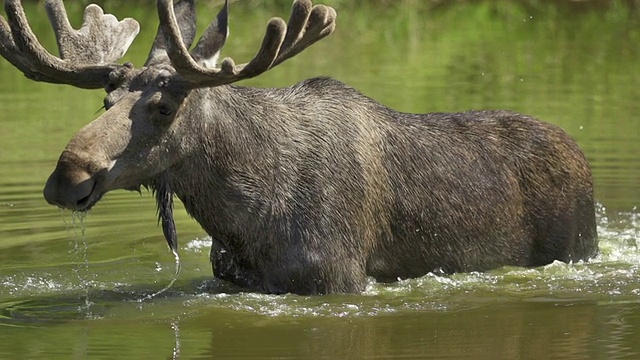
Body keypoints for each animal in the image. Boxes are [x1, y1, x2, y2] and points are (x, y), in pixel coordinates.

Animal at [2, 0, 596, 296]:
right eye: (106, 97)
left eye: (165, 107)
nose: (68, 177)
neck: (246, 219)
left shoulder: (339, 279)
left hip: (577, 243)